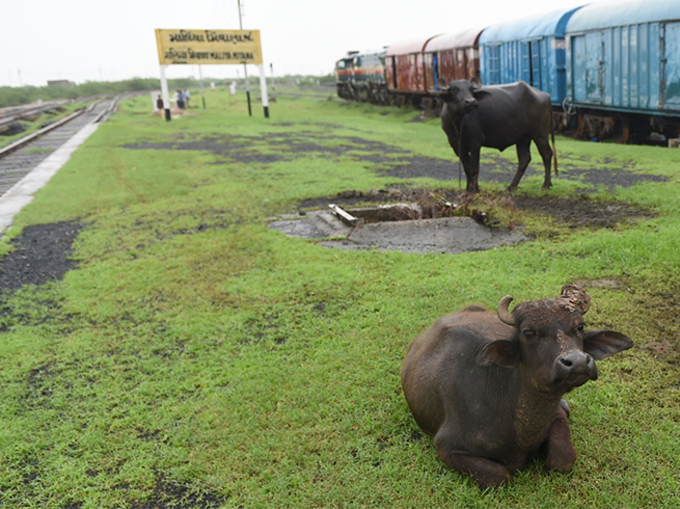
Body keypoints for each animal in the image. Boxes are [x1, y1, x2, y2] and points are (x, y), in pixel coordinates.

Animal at [402, 284, 636, 486]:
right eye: (529, 332)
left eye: (580, 326)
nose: (577, 361)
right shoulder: (446, 446)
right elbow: (500, 476)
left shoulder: (556, 417)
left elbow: (562, 461)